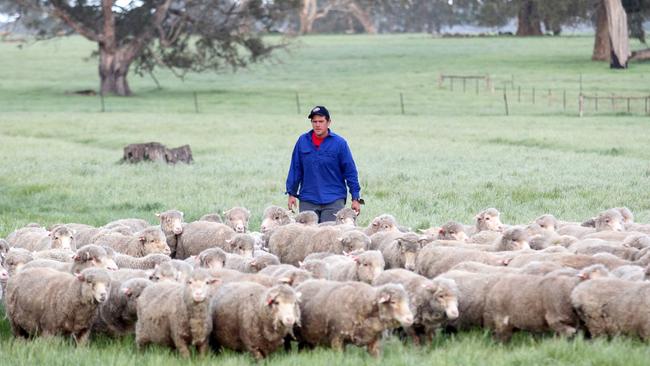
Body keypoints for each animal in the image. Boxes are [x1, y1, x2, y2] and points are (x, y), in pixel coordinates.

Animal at [480, 264, 608, 342]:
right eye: (592, 279)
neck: (569, 290)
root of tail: (495, 287)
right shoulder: (554, 319)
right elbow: (568, 333)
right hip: (501, 320)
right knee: (500, 339)